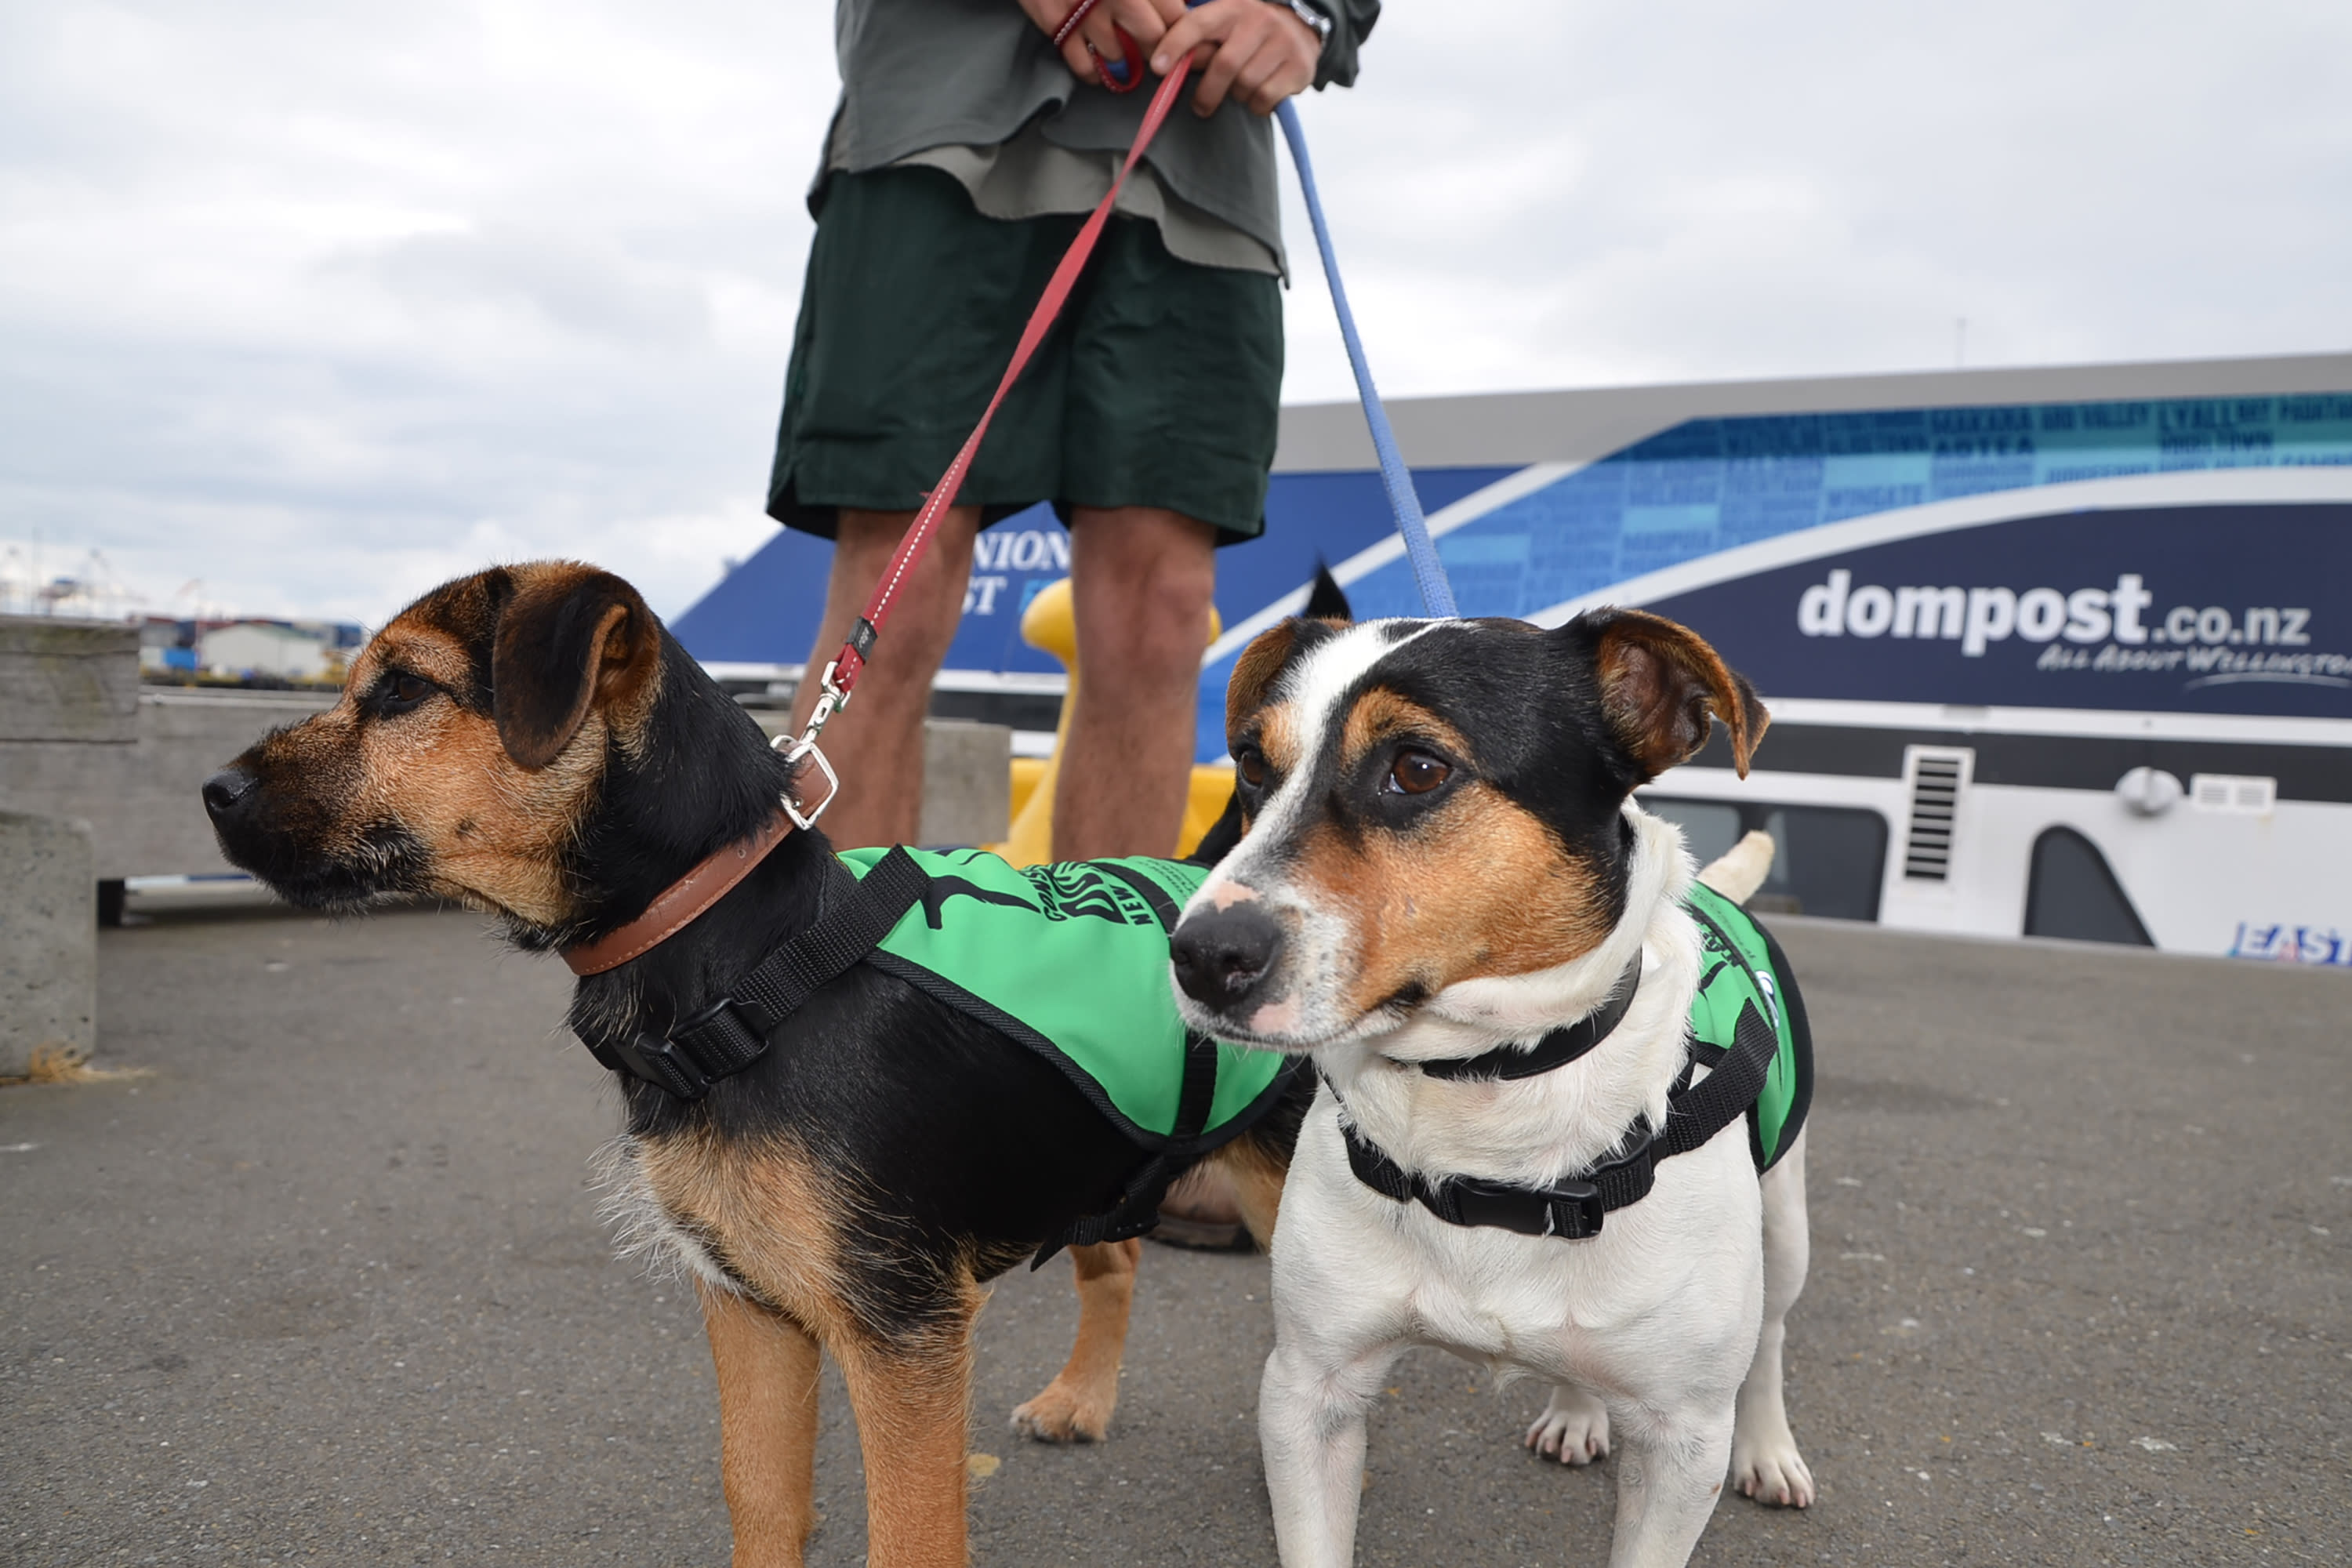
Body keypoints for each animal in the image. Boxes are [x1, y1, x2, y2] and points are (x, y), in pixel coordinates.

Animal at [198, 564, 1308, 1568]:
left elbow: (910, 1536)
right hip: (1081, 1159)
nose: (213, 791)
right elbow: (759, 1490)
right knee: (1116, 1258)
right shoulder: (749, 1301)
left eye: (402, 690)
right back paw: (1081, 1399)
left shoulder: (902, 1332)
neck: (740, 949)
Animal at [1167, 611, 1806, 1568]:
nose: (1203, 956)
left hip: (1786, 1226)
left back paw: (1769, 1449)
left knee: (1770, 1339)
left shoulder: (1682, 1441)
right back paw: (1578, 1411)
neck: (1485, 1088)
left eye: (1418, 768)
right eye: (1250, 762)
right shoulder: (1310, 1392)